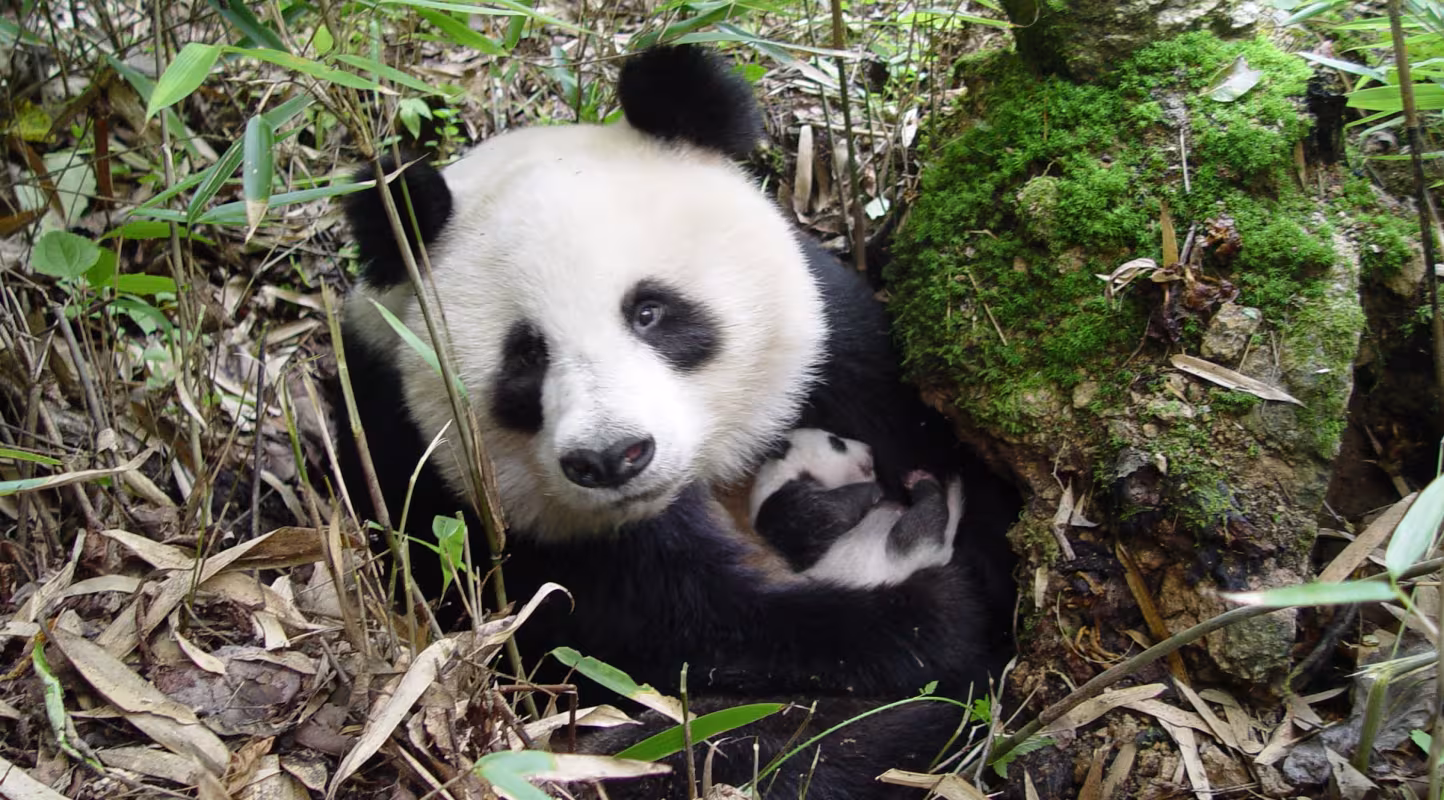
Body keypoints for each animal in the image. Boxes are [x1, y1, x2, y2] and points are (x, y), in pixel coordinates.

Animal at [749, 428, 964, 586]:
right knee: (921, 521)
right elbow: (826, 513)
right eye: (837, 442)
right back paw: (922, 483)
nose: (869, 449)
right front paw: (873, 491)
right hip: (900, 553)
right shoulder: (780, 508)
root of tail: (939, 554)